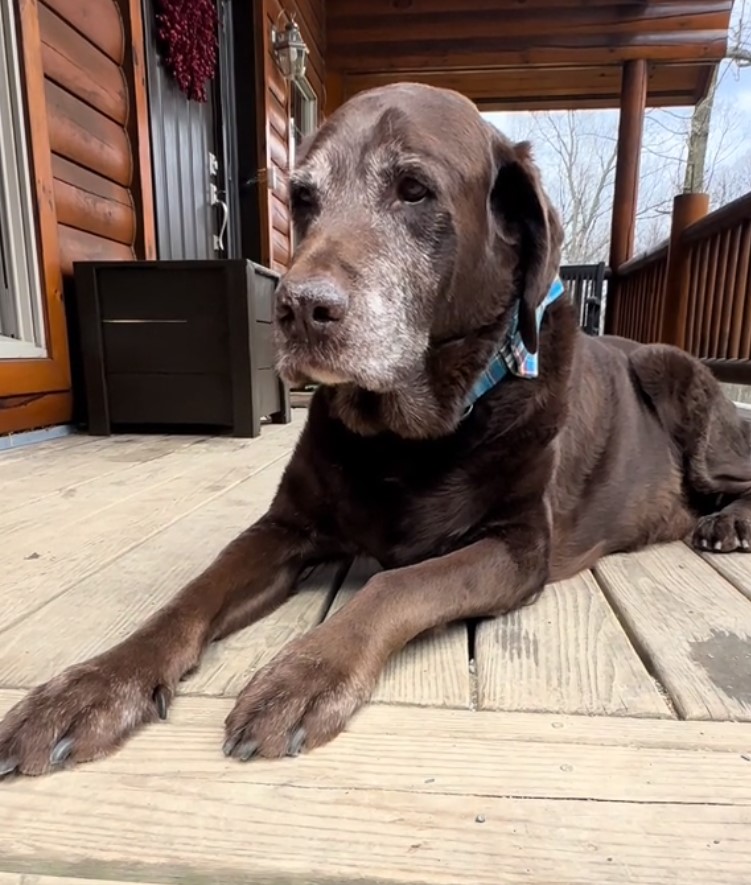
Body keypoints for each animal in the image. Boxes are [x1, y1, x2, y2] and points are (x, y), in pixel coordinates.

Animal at [1, 84, 751, 772]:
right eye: (303, 198)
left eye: (414, 190)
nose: (297, 308)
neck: (406, 435)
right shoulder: (284, 526)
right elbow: (191, 594)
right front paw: (92, 685)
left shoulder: (516, 547)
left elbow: (395, 585)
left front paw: (303, 674)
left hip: (668, 376)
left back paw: (727, 523)